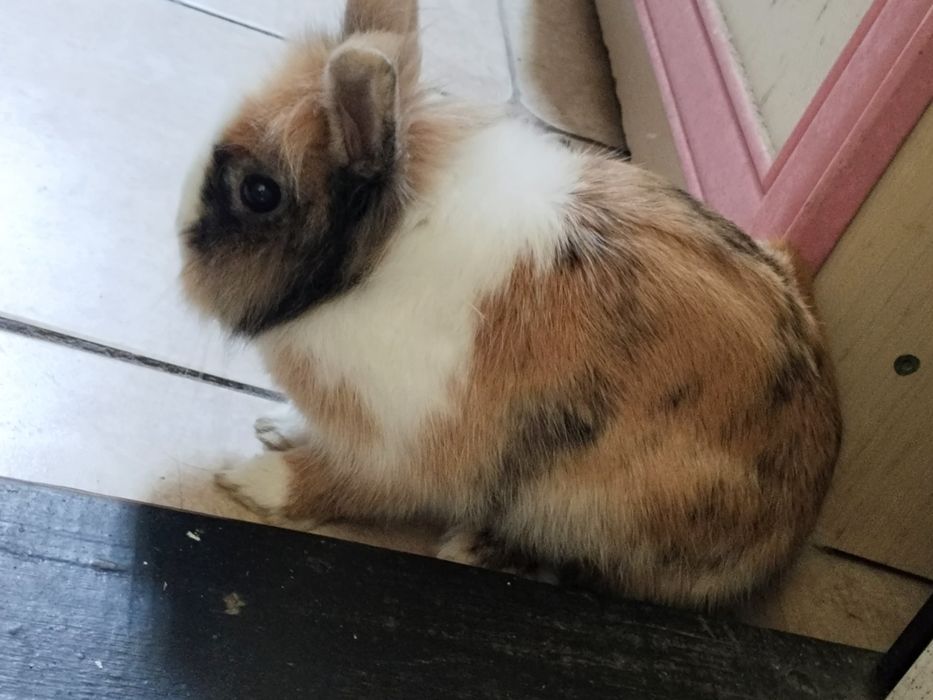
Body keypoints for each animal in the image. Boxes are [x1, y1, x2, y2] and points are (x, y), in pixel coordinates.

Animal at [176, 0, 840, 608]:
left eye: (260, 193)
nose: (178, 239)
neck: (374, 258)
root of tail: (792, 533)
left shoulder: (406, 445)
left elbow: (344, 484)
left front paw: (249, 482)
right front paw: (277, 426)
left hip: (593, 501)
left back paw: (476, 548)